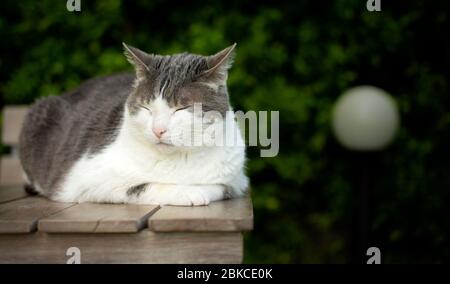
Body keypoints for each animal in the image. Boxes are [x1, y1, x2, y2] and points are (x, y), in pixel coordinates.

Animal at [17, 42, 248, 206]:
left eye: (180, 109)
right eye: (147, 108)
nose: (158, 130)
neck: (180, 159)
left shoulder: (237, 178)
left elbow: (222, 186)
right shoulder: (84, 179)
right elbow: (142, 186)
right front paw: (189, 192)